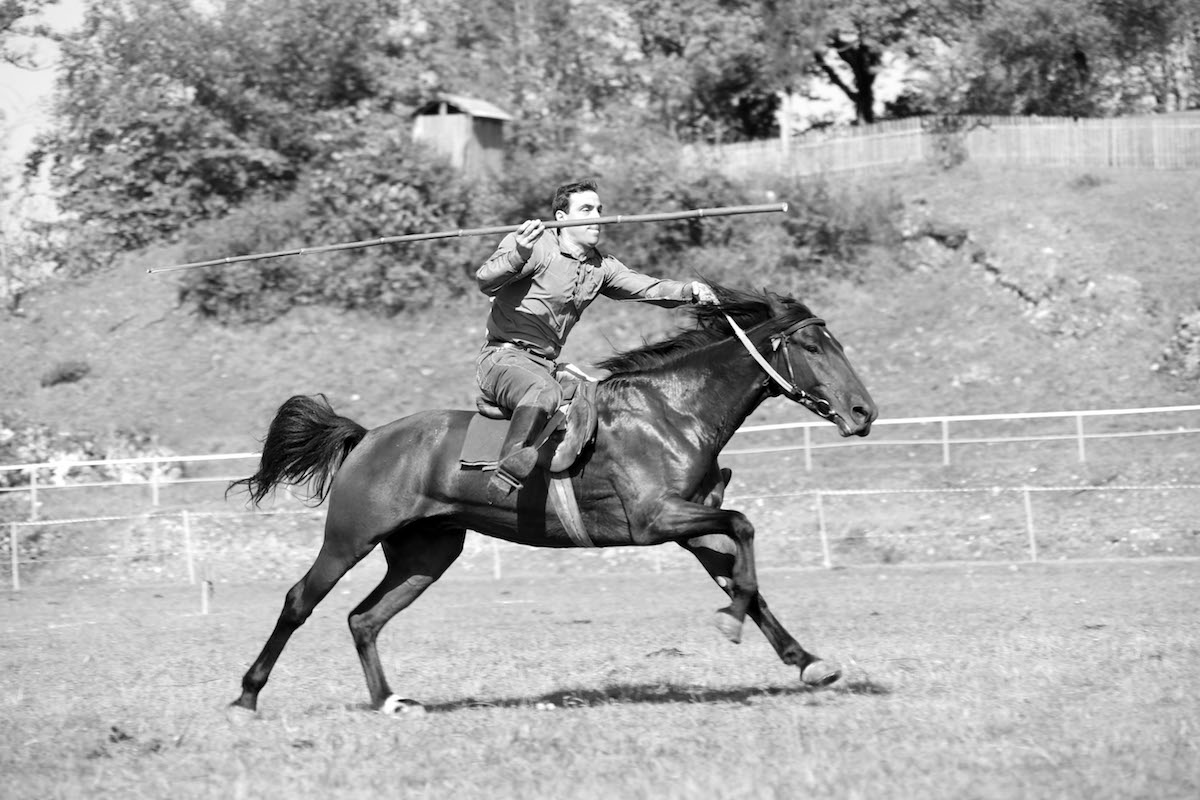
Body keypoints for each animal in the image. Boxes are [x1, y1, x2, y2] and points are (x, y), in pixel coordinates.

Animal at [229, 286, 878, 714]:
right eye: (813, 347)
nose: (864, 412)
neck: (673, 411)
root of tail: (367, 437)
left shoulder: (692, 527)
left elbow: (742, 571)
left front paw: (804, 659)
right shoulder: (655, 520)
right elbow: (744, 527)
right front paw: (730, 623)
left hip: (426, 553)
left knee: (365, 618)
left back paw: (389, 700)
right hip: (350, 538)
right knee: (299, 601)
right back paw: (247, 695)